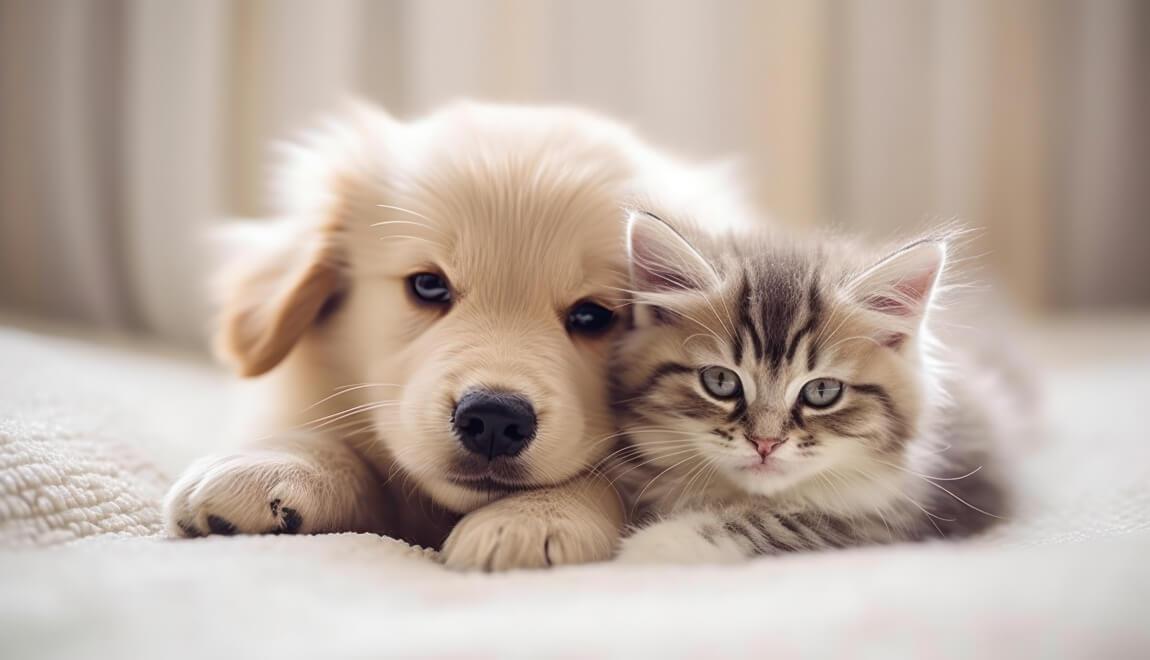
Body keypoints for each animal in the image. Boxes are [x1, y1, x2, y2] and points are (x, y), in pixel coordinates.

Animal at [607, 210, 1012, 563]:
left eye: (821, 392)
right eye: (721, 381)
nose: (765, 444)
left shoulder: (890, 520)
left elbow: (789, 523)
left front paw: (654, 544)